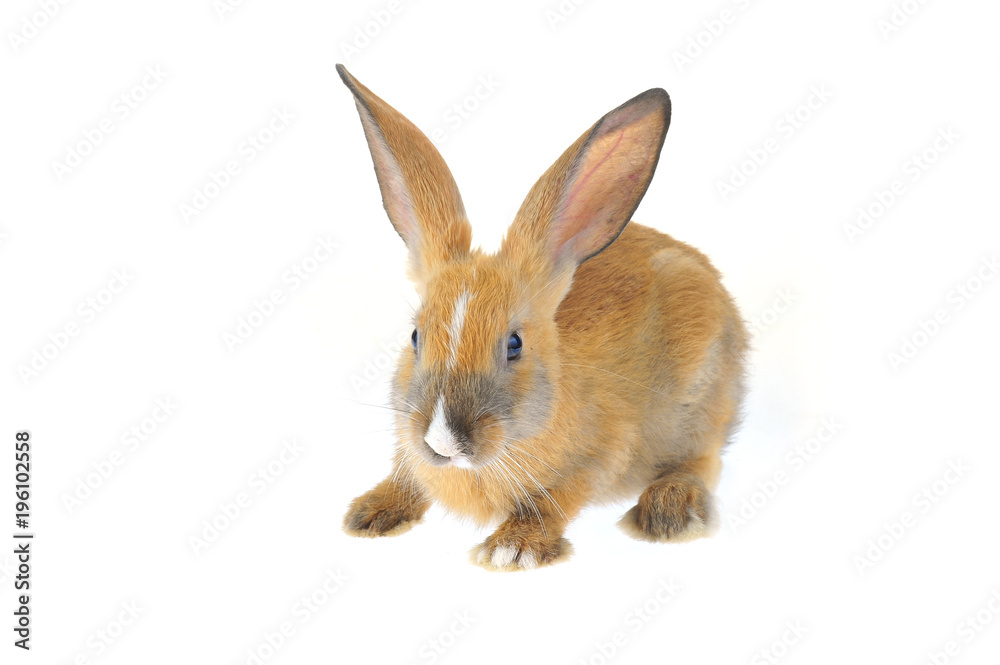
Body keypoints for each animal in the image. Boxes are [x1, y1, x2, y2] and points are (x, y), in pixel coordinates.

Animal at [336, 64, 747, 570]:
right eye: (415, 336)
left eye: (514, 344)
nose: (441, 442)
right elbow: (406, 473)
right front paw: (370, 514)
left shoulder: (602, 454)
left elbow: (557, 497)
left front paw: (512, 549)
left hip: (701, 402)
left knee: (703, 461)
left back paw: (669, 513)